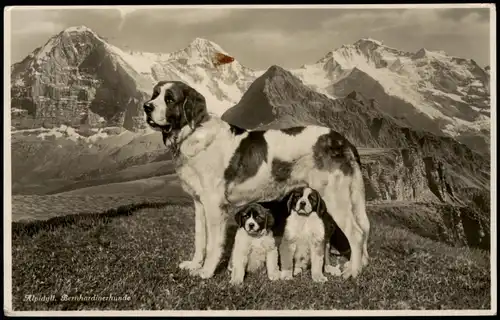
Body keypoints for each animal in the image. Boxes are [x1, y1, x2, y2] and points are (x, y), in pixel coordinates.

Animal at [143, 80, 370, 280]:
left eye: (169, 99)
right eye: (155, 94)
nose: (146, 107)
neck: (192, 133)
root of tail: (341, 140)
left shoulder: (214, 205)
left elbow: (213, 243)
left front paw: (206, 272)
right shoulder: (199, 203)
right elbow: (200, 239)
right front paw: (194, 265)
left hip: (335, 197)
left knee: (357, 233)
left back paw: (353, 271)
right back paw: (358, 265)